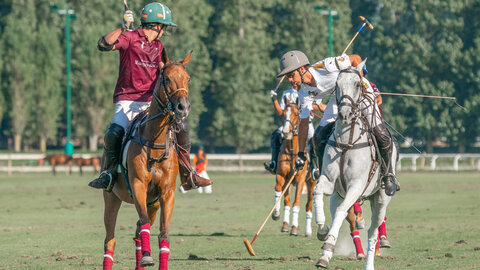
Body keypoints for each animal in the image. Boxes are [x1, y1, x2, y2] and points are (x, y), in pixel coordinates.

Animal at [101, 51, 193, 270]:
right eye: (166, 78)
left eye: (188, 79)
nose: (182, 108)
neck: (155, 143)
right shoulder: (138, 185)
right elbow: (143, 222)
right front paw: (147, 257)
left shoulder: (167, 193)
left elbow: (163, 234)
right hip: (111, 197)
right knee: (110, 240)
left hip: (154, 203)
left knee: (137, 232)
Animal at [270, 102, 316, 236]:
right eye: (284, 113)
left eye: (296, 114)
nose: (285, 132)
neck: (292, 151)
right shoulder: (281, 176)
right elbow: (279, 192)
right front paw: (276, 214)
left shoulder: (300, 180)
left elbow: (296, 203)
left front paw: (294, 228)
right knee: (287, 201)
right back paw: (285, 224)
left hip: (312, 182)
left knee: (308, 205)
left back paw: (308, 231)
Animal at [314, 60, 396, 268]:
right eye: (336, 85)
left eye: (358, 84)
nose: (345, 113)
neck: (347, 142)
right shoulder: (329, 181)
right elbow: (318, 191)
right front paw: (322, 232)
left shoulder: (356, 185)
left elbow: (342, 211)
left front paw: (328, 245)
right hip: (339, 195)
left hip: (381, 199)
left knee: (373, 232)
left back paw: (370, 262)